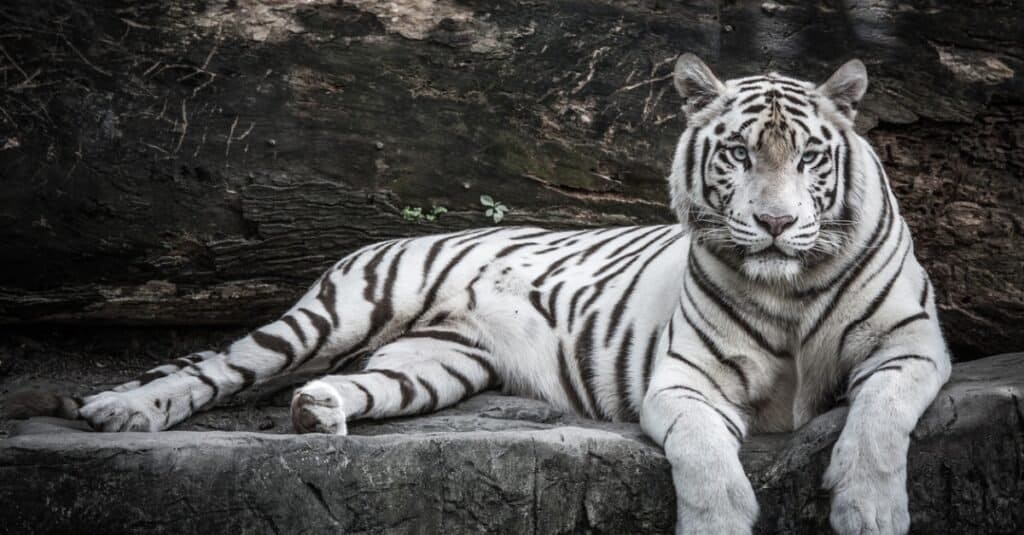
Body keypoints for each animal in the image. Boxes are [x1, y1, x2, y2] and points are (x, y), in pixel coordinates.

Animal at [12, 55, 950, 532]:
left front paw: (869, 510)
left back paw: (318, 412)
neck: (789, 287)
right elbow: (705, 458)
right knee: (215, 366)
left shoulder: (909, 345)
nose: (777, 223)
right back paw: (122, 412)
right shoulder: (685, 381)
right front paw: (721, 520)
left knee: (352, 384)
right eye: (738, 154)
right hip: (341, 309)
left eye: (809, 157)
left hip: (433, 364)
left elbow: (877, 422)